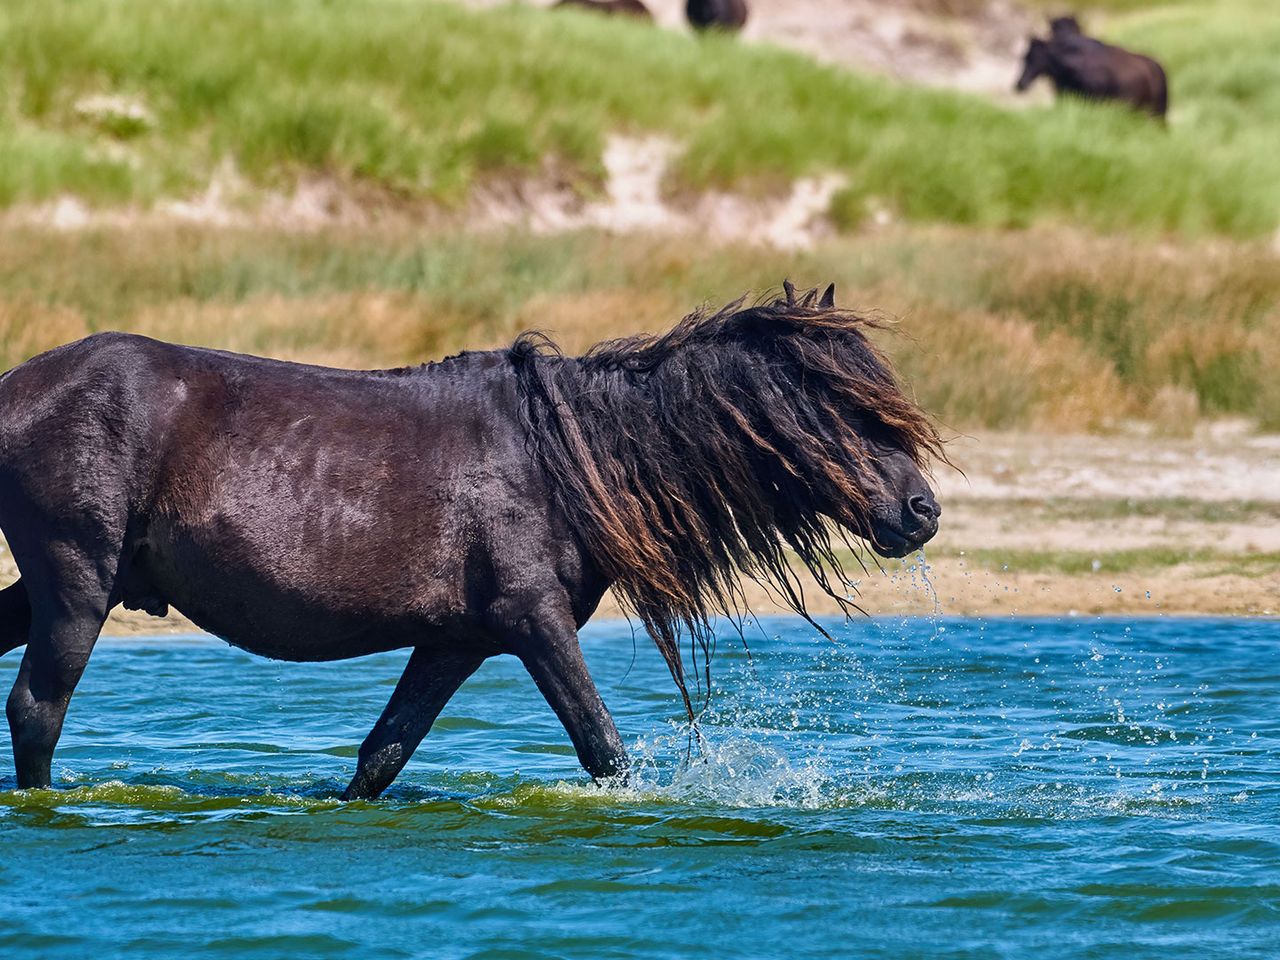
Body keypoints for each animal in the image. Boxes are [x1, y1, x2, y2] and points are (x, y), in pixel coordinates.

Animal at [0, 283, 942, 798]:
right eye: (842, 404)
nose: (921, 510)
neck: (563, 458)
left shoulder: (454, 641)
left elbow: (381, 756)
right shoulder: (533, 621)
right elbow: (604, 750)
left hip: (60, 588)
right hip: (77, 585)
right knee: (37, 711)